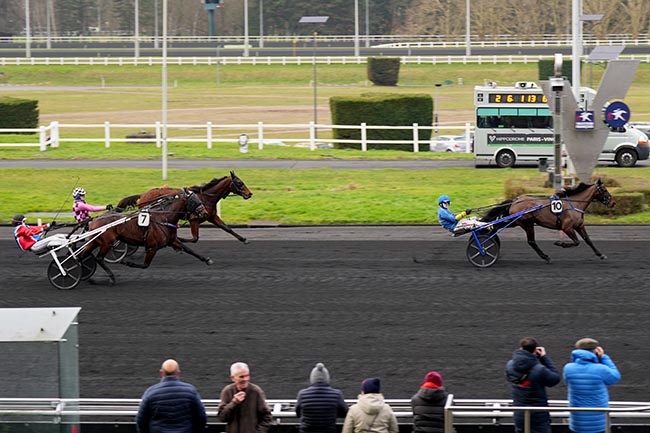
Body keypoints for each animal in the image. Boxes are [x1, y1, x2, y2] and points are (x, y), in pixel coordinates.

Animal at [79, 188, 209, 284]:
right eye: (194, 199)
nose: (205, 213)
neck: (163, 218)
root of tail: (95, 219)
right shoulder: (152, 247)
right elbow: (145, 265)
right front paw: (127, 262)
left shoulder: (172, 240)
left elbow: (188, 249)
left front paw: (207, 259)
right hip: (107, 243)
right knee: (99, 258)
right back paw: (110, 277)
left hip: (94, 242)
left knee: (83, 257)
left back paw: (88, 276)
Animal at [115, 170, 249, 245]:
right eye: (239, 183)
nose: (249, 193)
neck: (204, 198)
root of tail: (143, 195)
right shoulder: (194, 218)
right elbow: (194, 238)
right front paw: (179, 239)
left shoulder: (211, 216)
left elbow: (226, 228)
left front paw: (244, 239)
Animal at [480, 180, 612, 264]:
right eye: (604, 190)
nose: (613, 202)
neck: (574, 204)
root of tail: (515, 200)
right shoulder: (567, 228)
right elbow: (576, 242)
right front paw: (560, 243)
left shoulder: (579, 226)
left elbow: (588, 240)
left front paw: (601, 254)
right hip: (526, 223)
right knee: (531, 241)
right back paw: (545, 257)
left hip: (514, 222)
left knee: (496, 227)